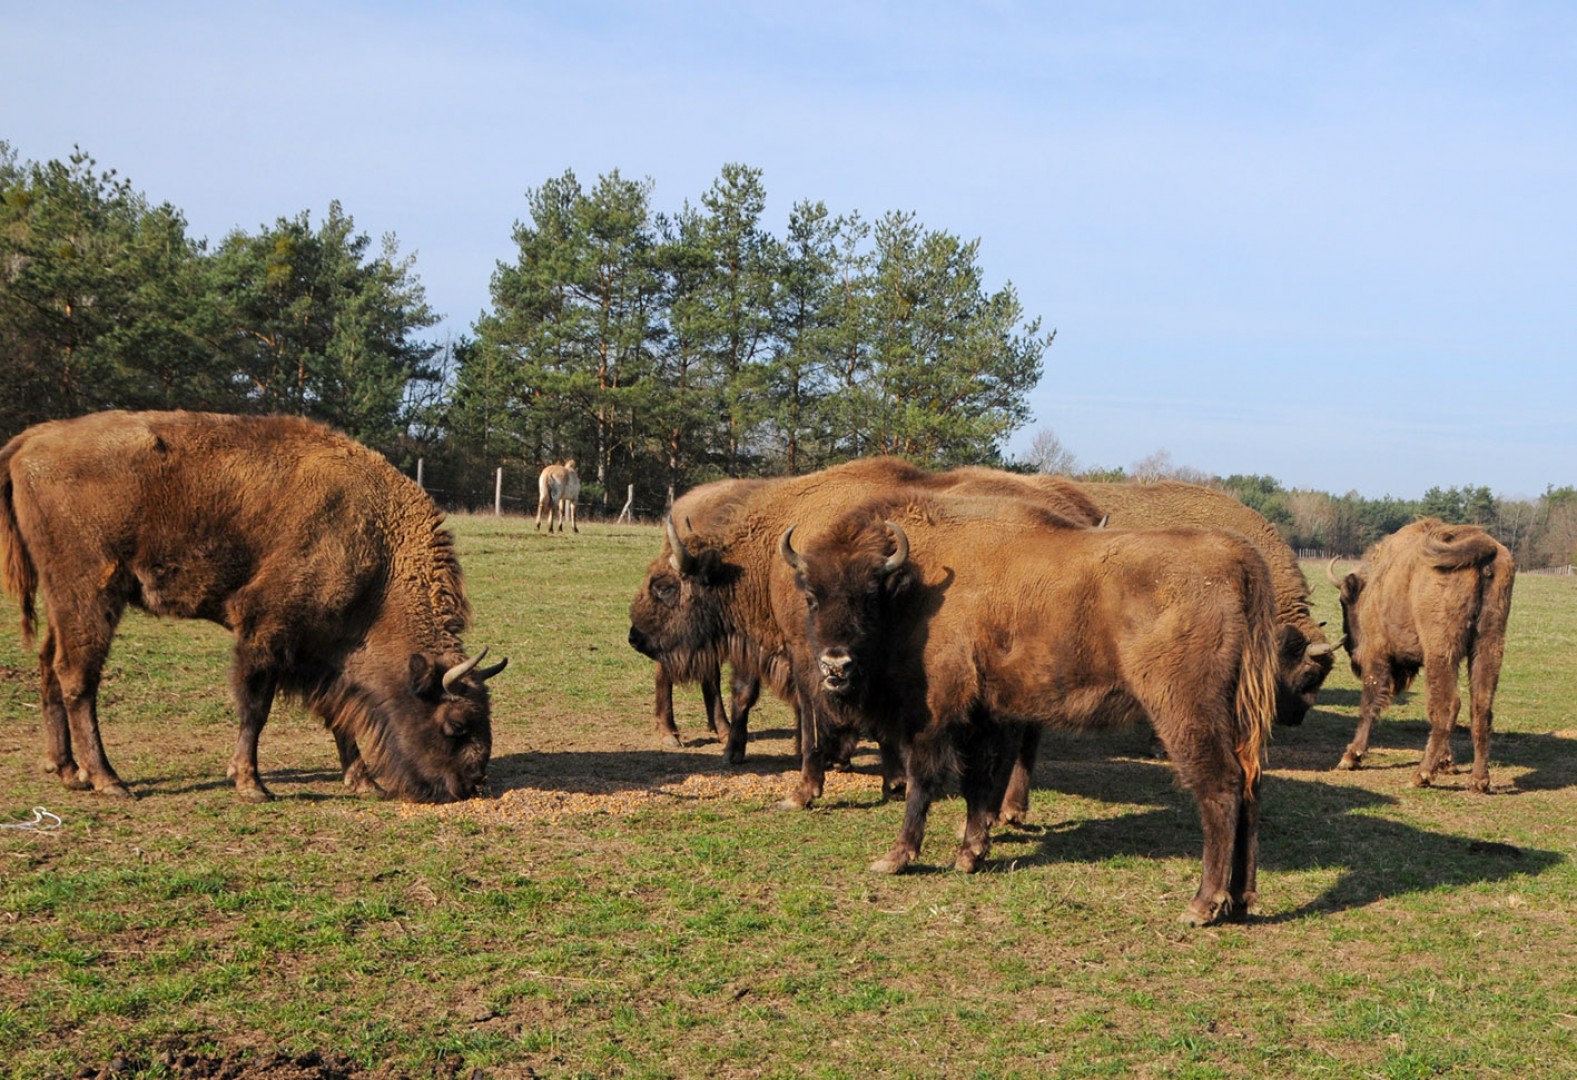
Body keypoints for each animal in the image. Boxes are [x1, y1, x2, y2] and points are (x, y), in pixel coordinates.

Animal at [0, 410, 507, 803]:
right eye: (457, 724)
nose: (469, 785)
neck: (379, 550)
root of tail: (32, 440)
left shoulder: (323, 655)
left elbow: (338, 716)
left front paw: (364, 782)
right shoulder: (267, 631)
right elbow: (255, 708)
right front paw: (251, 784)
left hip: (63, 600)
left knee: (48, 665)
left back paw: (67, 771)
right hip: (91, 593)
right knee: (77, 678)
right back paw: (108, 780)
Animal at [778, 490, 1282, 926]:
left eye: (868, 597)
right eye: (812, 597)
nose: (835, 664)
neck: (917, 583)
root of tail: (1239, 558)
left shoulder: (936, 714)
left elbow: (925, 781)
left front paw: (896, 857)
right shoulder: (983, 715)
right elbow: (978, 783)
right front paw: (970, 855)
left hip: (1184, 709)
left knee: (1219, 786)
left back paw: (1202, 905)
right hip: (1237, 715)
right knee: (1250, 786)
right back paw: (1241, 899)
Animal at [1325, 518, 1514, 791]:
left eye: (1344, 600)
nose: (1352, 649)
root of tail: (1481, 544)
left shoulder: (1377, 655)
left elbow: (1369, 704)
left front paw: (1351, 756)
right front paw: (1447, 763)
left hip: (1441, 650)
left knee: (1448, 705)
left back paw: (1421, 775)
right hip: (1488, 643)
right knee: (1480, 706)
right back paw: (1478, 780)